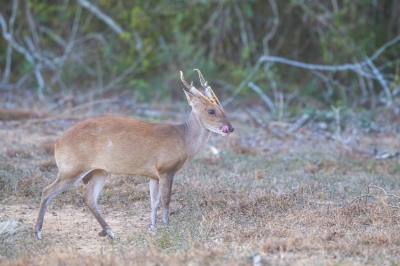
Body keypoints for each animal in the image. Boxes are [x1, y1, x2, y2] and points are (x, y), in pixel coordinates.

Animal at [35, 69, 234, 240]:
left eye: (223, 108)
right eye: (211, 111)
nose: (230, 128)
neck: (183, 139)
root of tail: (56, 143)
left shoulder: (153, 175)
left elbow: (153, 201)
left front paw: (153, 227)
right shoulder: (166, 169)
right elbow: (166, 200)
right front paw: (167, 228)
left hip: (99, 171)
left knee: (89, 198)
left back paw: (110, 232)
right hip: (72, 168)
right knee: (47, 191)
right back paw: (38, 232)